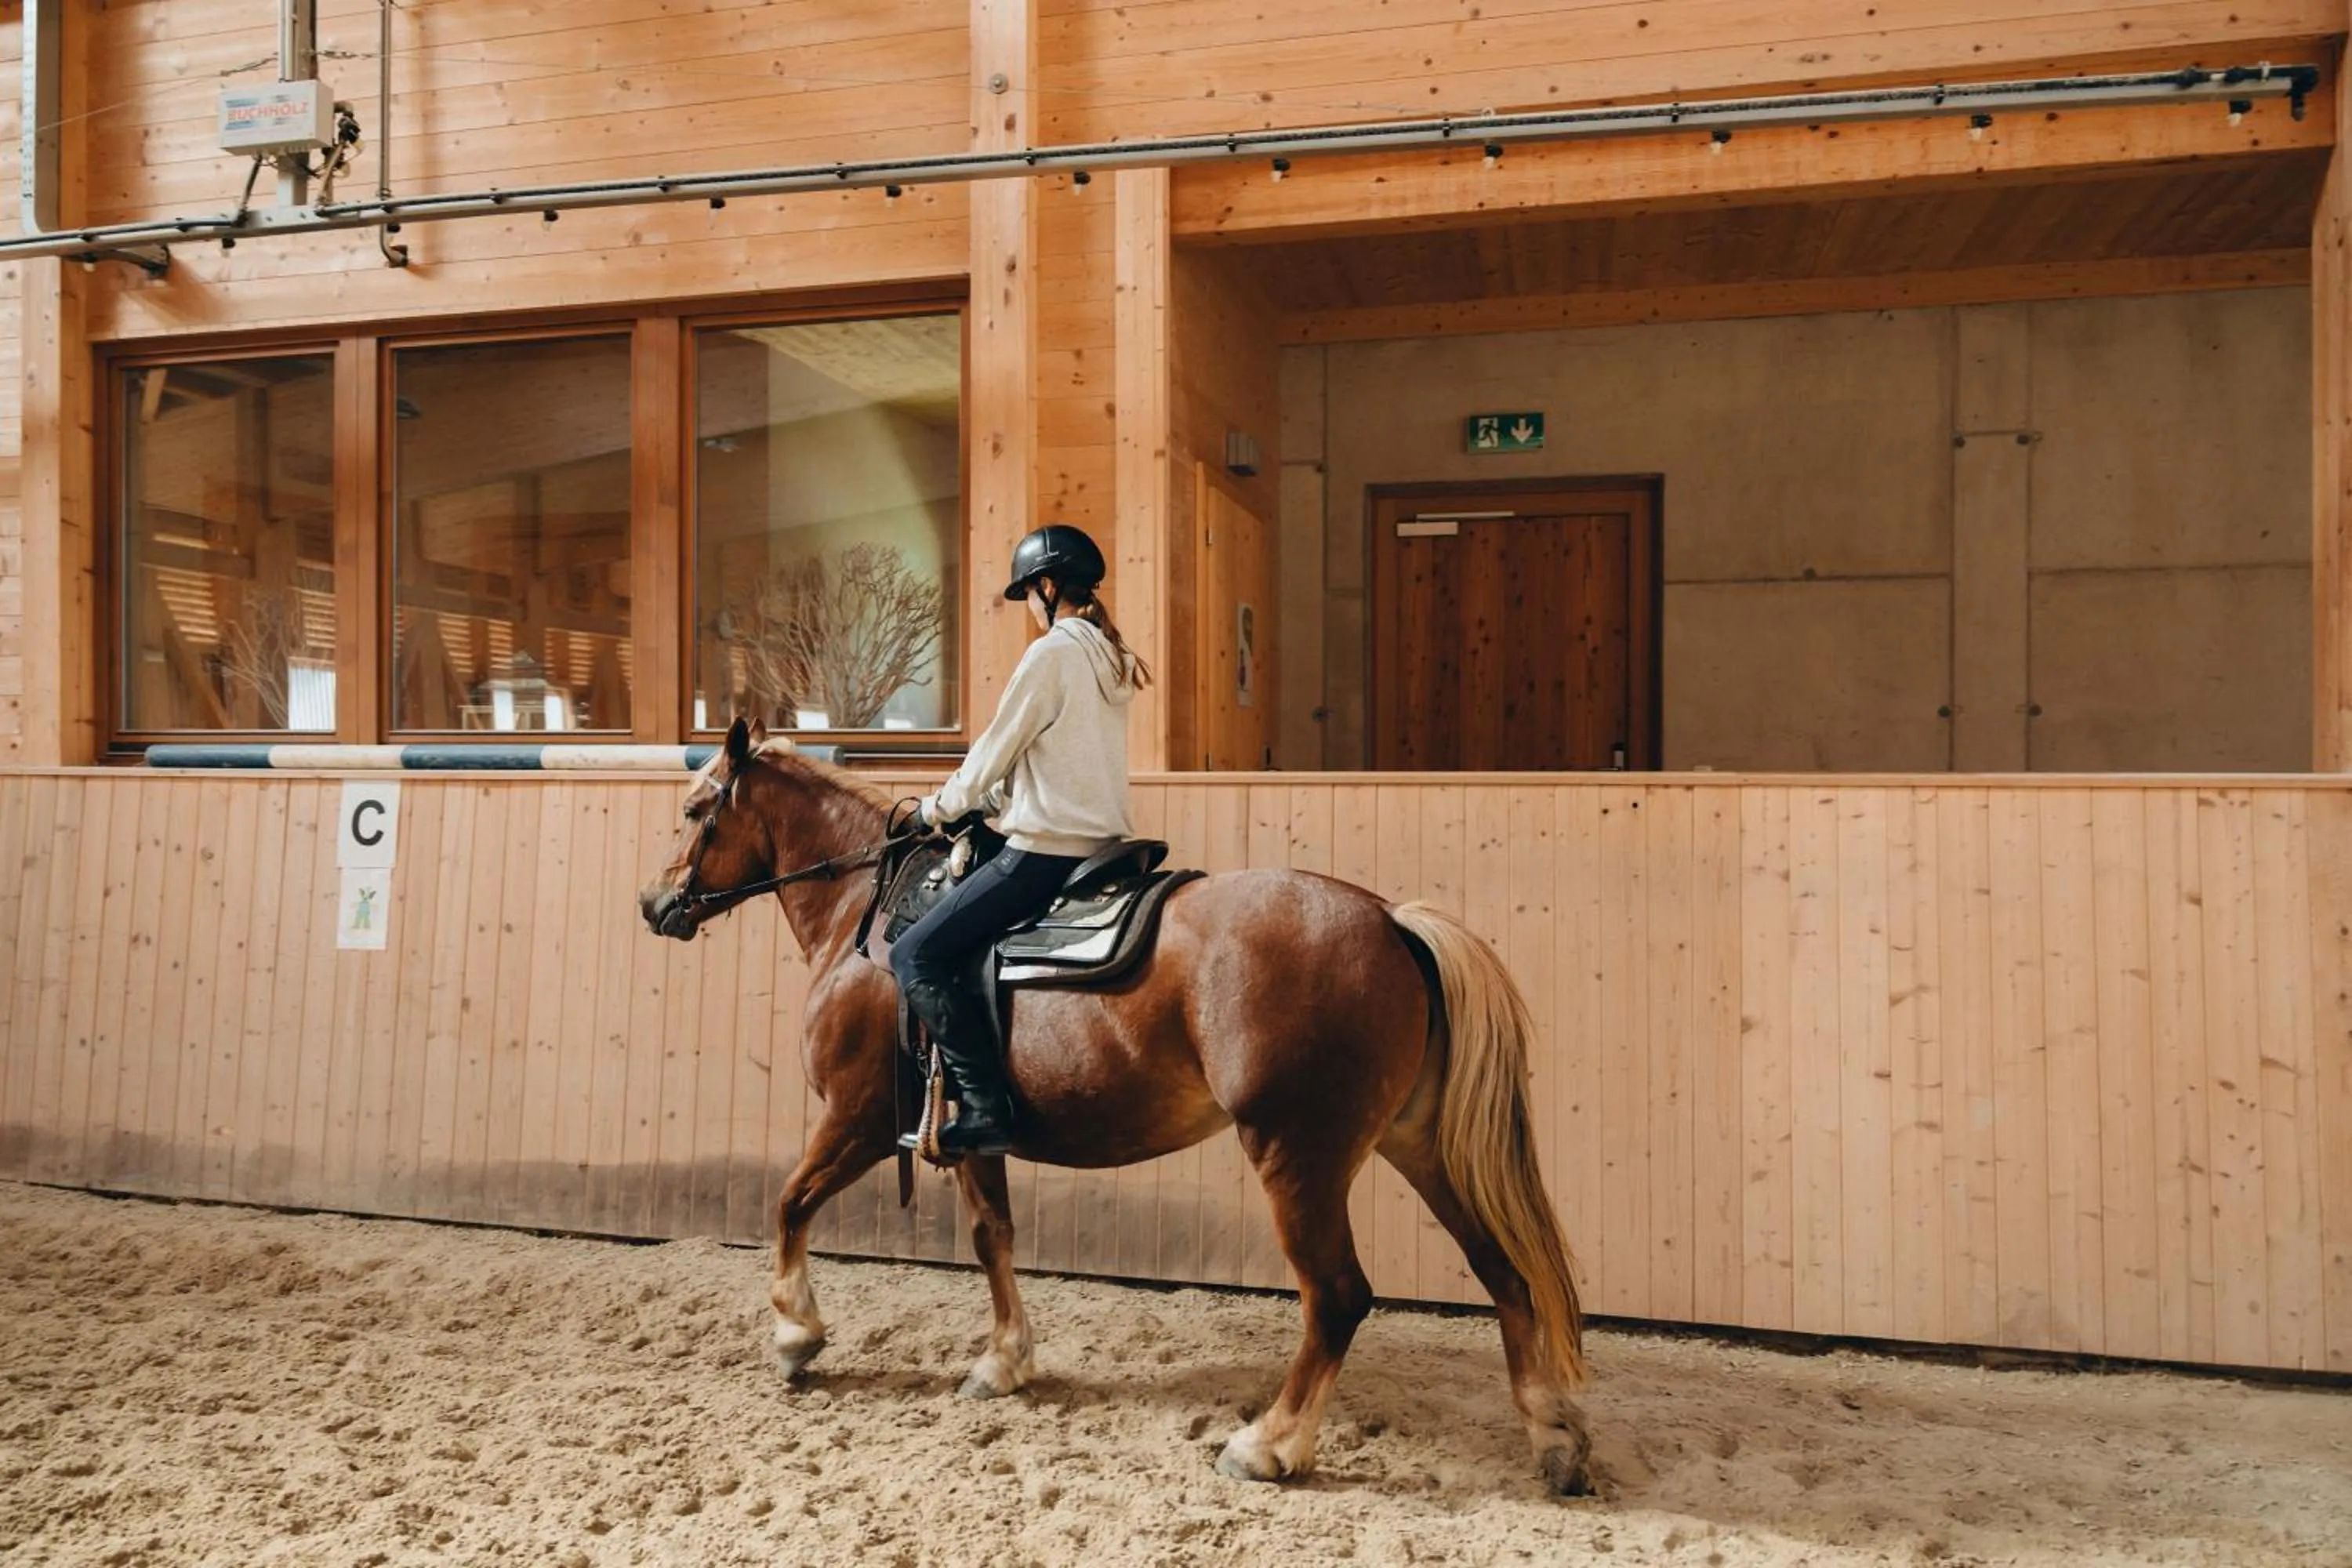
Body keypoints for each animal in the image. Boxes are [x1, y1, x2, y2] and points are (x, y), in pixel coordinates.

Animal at [637, 717, 1595, 1494]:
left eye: (695, 810)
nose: (655, 902)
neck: (865, 916)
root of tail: (1392, 920)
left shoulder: (857, 1119)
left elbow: (788, 1202)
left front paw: (796, 1334)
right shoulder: (972, 1133)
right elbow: (992, 1237)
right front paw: (1003, 1362)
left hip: (1298, 1154)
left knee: (1338, 1296)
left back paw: (1268, 1445)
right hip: (1419, 1144)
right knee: (1503, 1269)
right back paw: (1553, 1436)